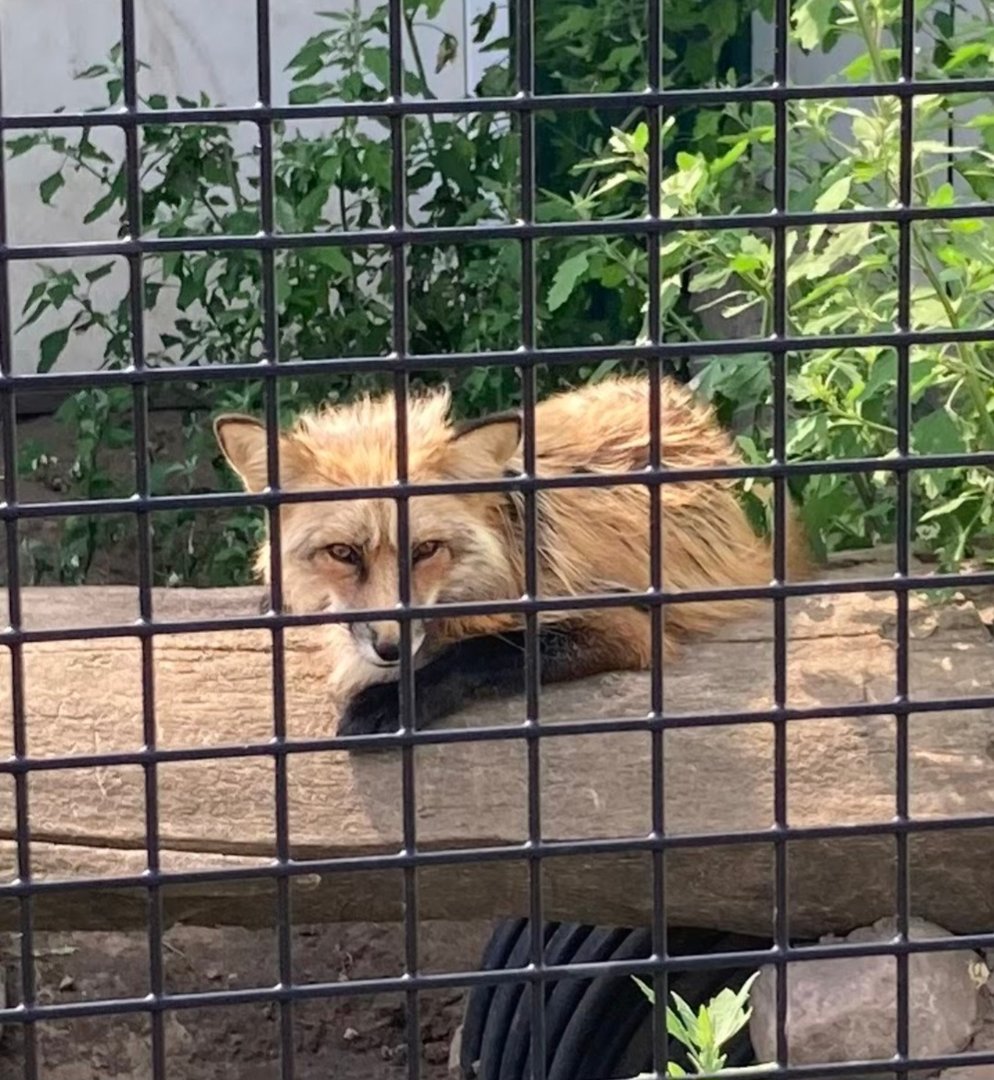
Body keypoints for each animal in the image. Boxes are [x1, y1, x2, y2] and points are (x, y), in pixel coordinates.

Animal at [213, 374, 810, 738]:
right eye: (342, 553)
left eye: (426, 550)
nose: (389, 648)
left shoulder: (623, 623)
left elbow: (486, 651)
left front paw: (395, 701)